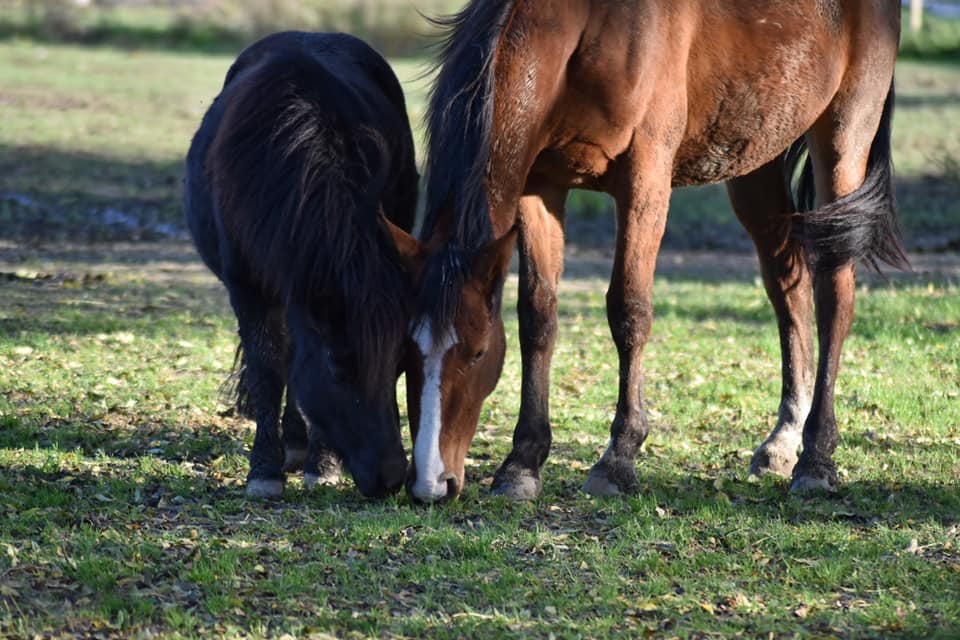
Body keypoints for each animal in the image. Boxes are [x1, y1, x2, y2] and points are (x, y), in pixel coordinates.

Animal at [184, 31, 422, 499]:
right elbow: (269, 367)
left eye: (400, 365)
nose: (390, 478)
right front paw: (264, 471)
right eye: (340, 366)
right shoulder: (249, 287)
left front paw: (322, 465)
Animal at [401, 0, 908, 502]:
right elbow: (538, 317)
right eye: (404, 351)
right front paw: (522, 463)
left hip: (843, 140)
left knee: (834, 293)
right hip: (758, 161)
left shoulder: (645, 180)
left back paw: (817, 458)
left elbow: (629, 312)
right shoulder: (539, 186)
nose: (430, 483)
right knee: (789, 287)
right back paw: (782, 443)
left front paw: (618, 458)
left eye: (478, 351)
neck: (585, 26)